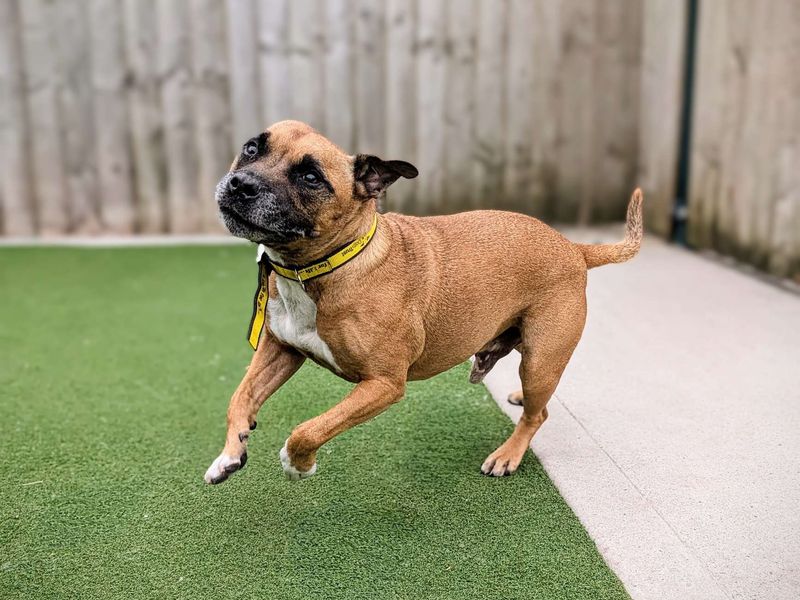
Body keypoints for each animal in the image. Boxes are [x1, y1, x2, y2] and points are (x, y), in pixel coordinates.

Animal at [203, 120, 640, 482]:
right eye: (251, 148)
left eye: (311, 177)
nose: (241, 184)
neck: (324, 267)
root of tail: (574, 248)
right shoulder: (281, 348)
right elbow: (239, 396)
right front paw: (229, 454)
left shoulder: (383, 384)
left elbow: (308, 429)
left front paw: (299, 464)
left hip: (540, 361)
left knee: (539, 413)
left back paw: (508, 454)